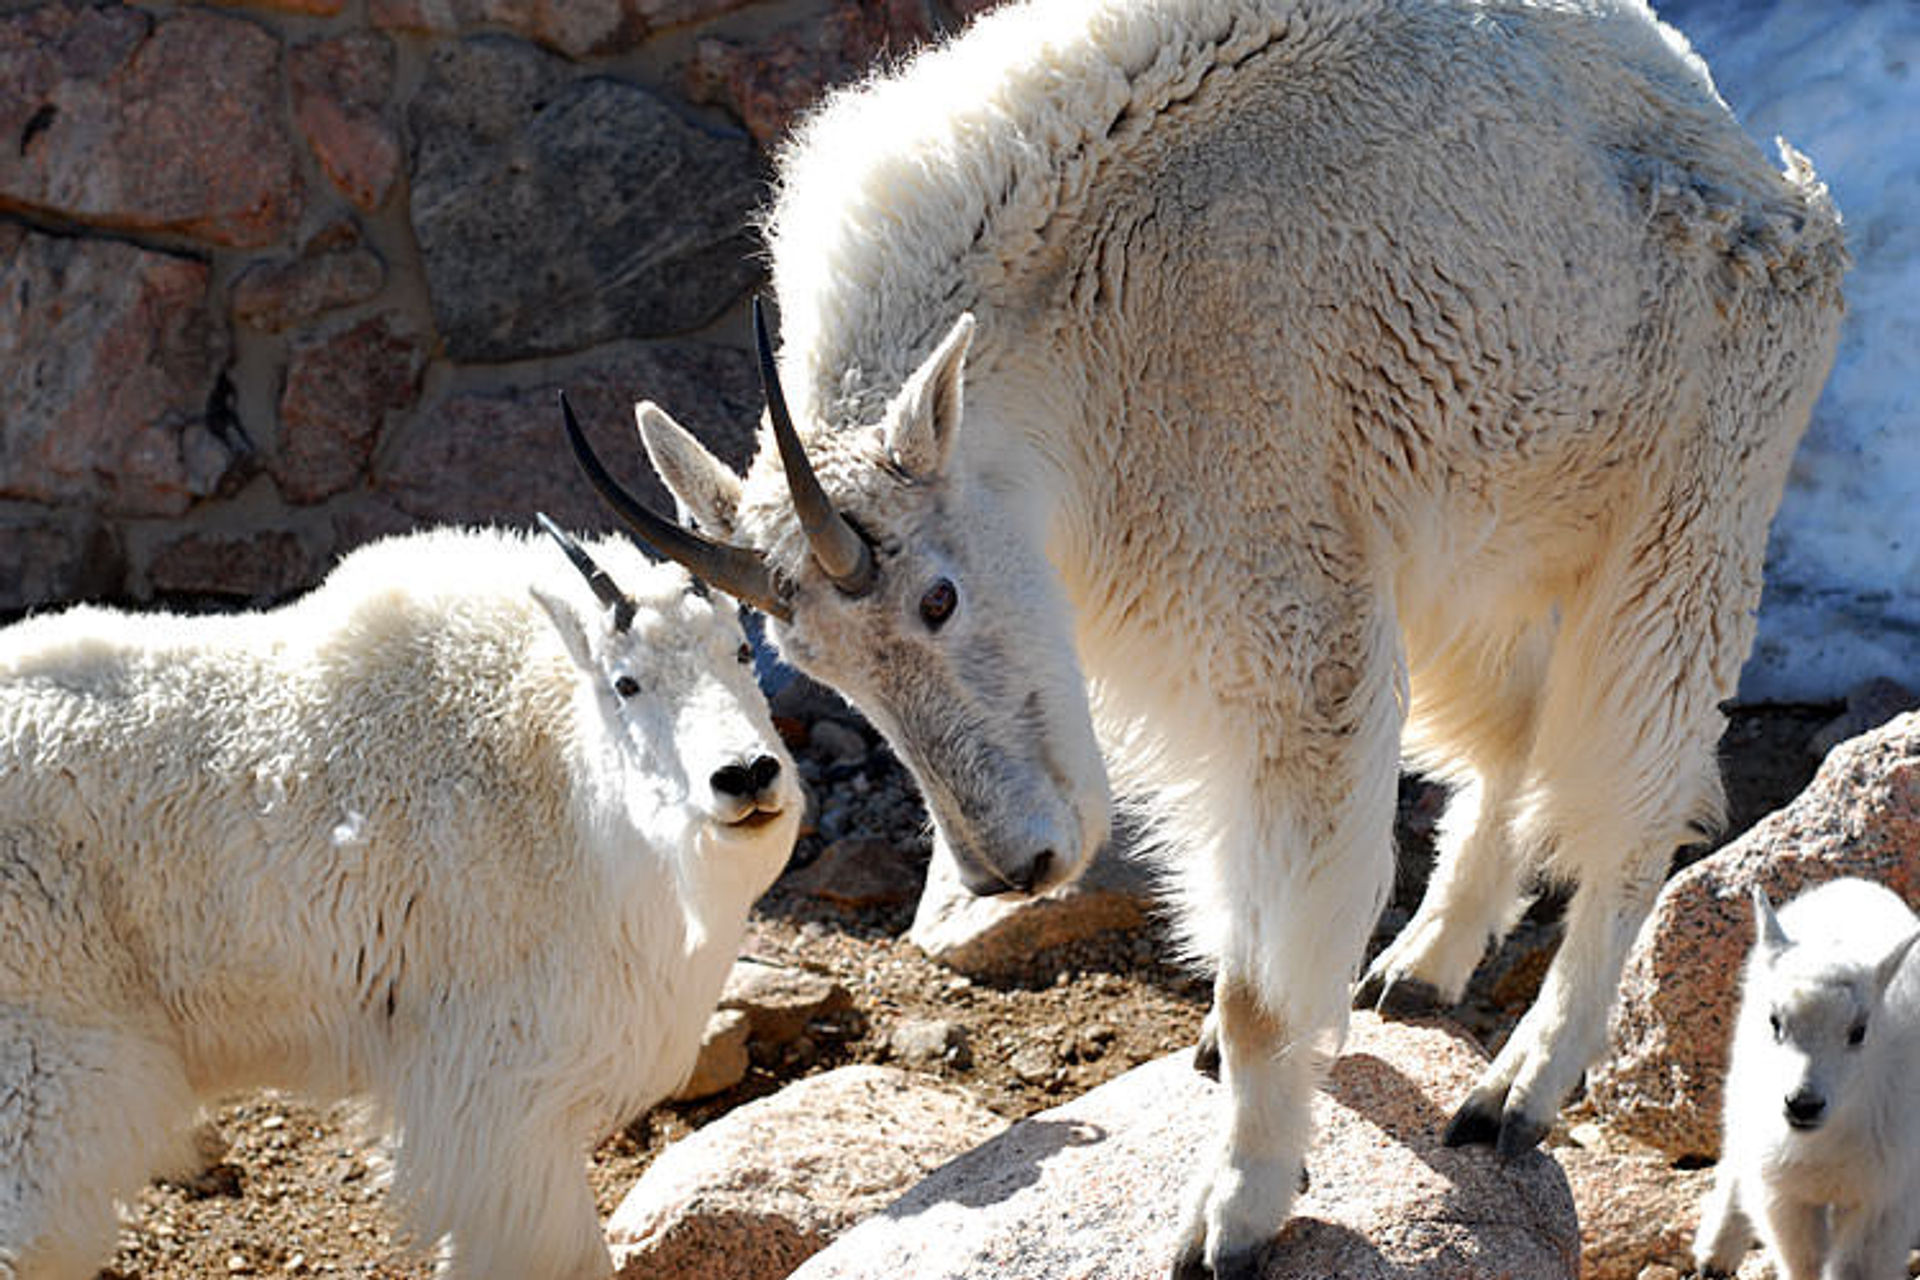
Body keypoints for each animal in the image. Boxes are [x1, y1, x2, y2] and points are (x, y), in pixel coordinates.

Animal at [0, 521, 794, 1280]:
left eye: (742, 651)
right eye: (626, 682)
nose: (747, 776)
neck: (560, 776)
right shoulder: (502, 1079)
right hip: (47, 1058)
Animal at [564, 0, 1843, 1274]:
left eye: (939, 597)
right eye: (816, 667)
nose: (1012, 868)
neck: (1070, 325)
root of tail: (1759, 169)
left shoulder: (1291, 624)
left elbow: (1268, 974)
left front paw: (1237, 1207)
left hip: (1683, 518)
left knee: (1631, 809)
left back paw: (1518, 1085)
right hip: (1481, 537)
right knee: (1516, 730)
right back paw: (1421, 965)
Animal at [1697, 882, 1920, 1280]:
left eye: (1859, 1032)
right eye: (1774, 1020)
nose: (1803, 1104)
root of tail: (1851, 883)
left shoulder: (1882, 1195)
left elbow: (1853, 1268)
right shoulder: (1785, 1195)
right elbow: (1802, 1262)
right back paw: (1714, 1255)